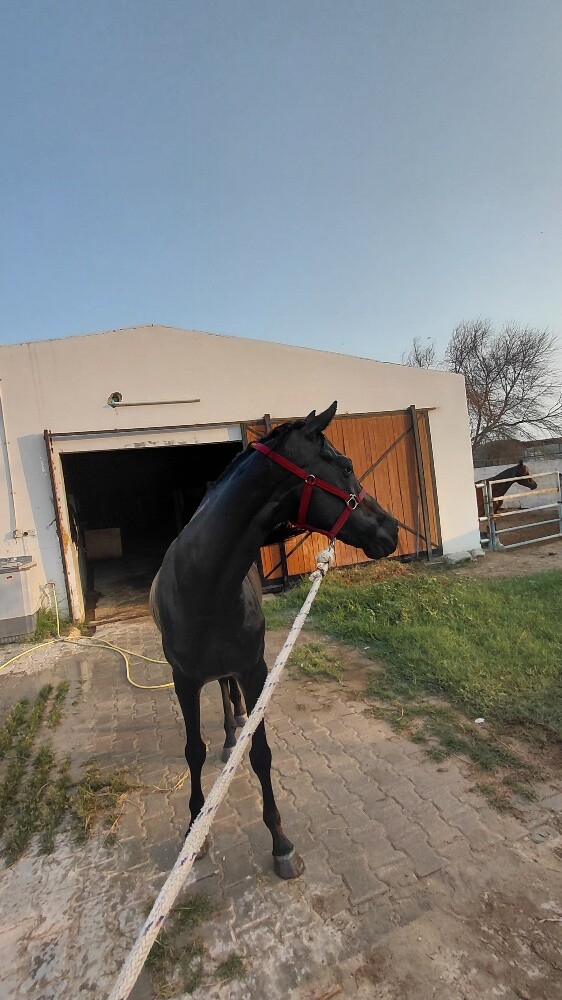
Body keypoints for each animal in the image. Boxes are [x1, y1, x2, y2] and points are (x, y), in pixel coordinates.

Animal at [151, 401, 399, 879]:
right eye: (345, 464)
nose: (392, 529)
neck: (203, 588)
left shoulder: (255, 670)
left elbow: (261, 754)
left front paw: (281, 843)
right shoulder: (183, 680)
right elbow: (194, 752)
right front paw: (194, 830)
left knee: (228, 692)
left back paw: (234, 730)